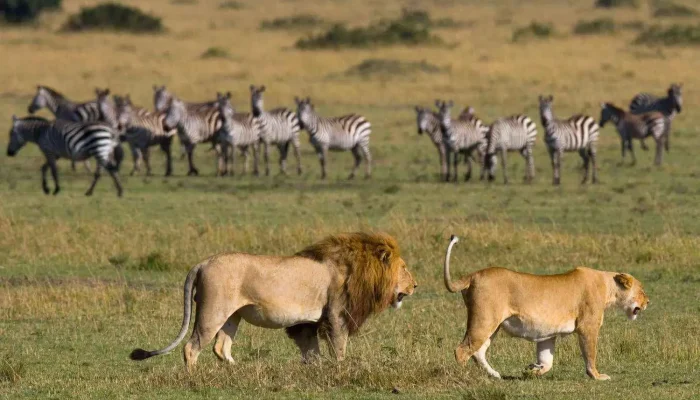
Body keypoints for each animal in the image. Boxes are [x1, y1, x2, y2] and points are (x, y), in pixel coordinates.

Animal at [130, 232, 417, 370]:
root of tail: (203, 263)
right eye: (404, 268)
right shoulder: (336, 314)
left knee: (221, 348)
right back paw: (194, 378)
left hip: (232, 316)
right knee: (191, 347)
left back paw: (239, 371)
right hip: (213, 312)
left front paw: (314, 369)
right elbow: (339, 346)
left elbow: (311, 349)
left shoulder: (308, 322)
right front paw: (340, 369)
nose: (416, 285)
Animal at [443, 235, 649, 380]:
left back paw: (495, 375)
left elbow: (547, 360)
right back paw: (465, 376)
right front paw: (597, 376)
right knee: (462, 350)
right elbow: (590, 353)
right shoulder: (588, 326)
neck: (607, 286)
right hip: (484, 320)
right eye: (642, 290)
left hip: (492, 325)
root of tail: (473, 275)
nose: (648, 302)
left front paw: (534, 370)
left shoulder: (548, 334)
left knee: (478, 351)